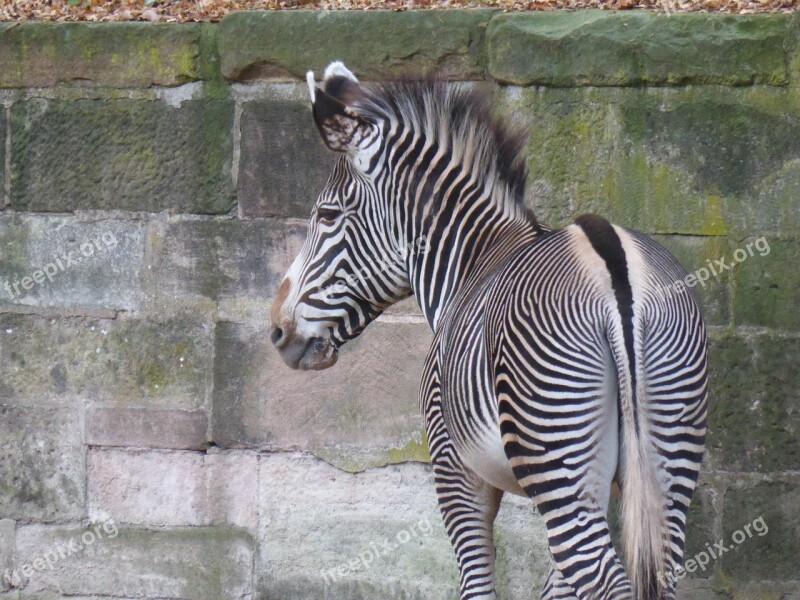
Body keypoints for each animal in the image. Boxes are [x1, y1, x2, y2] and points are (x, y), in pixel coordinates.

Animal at [272, 62, 708, 600]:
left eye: (327, 214)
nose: (278, 330)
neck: (471, 263)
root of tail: (612, 259)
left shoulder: (455, 471)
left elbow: (477, 583)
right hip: (668, 459)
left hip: (559, 456)